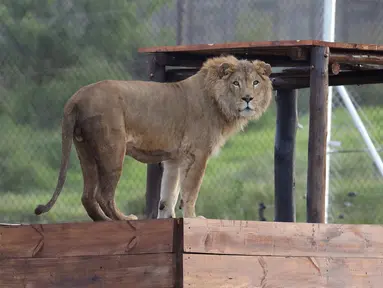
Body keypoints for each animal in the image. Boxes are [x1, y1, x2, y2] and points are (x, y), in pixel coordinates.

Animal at [33, 54, 272, 220]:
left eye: (255, 82)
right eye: (236, 83)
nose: (248, 98)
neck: (218, 101)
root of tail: (76, 97)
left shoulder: (175, 158)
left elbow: (169, 193)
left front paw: (168, 217)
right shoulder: (198, 153)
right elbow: (190, 190)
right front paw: (194, 218)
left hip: (85, 151)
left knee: (87, 197)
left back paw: (104, 221)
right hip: (112, 149)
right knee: (104, 195)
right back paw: (123, 219)